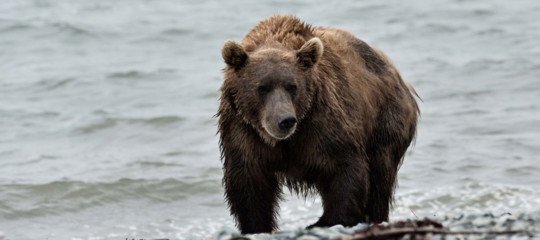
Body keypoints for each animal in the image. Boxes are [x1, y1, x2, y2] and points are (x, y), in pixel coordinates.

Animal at [217, 15, 420, 234]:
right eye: (262, 87)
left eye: (292, 86)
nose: (285, 120)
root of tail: (399, 76)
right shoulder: (242, 129)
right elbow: (249, 182)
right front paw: (257, 227)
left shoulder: (323, 121)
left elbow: (345, 167)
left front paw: (330, 220)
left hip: (386, 119)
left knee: (380, 174)